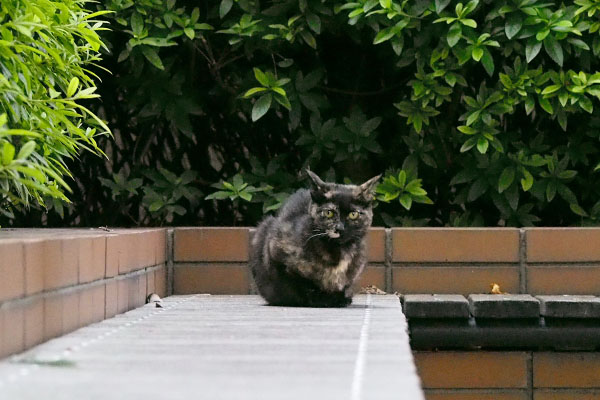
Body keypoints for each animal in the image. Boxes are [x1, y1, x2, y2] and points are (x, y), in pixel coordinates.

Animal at [248, 170, 380, 308]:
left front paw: (341, 298)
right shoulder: (276, 251)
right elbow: (304, 284)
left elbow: (345, 284)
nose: (339, 228)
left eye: (353, 214)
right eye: (329, 213)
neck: (336, 252)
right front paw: (322, 300)